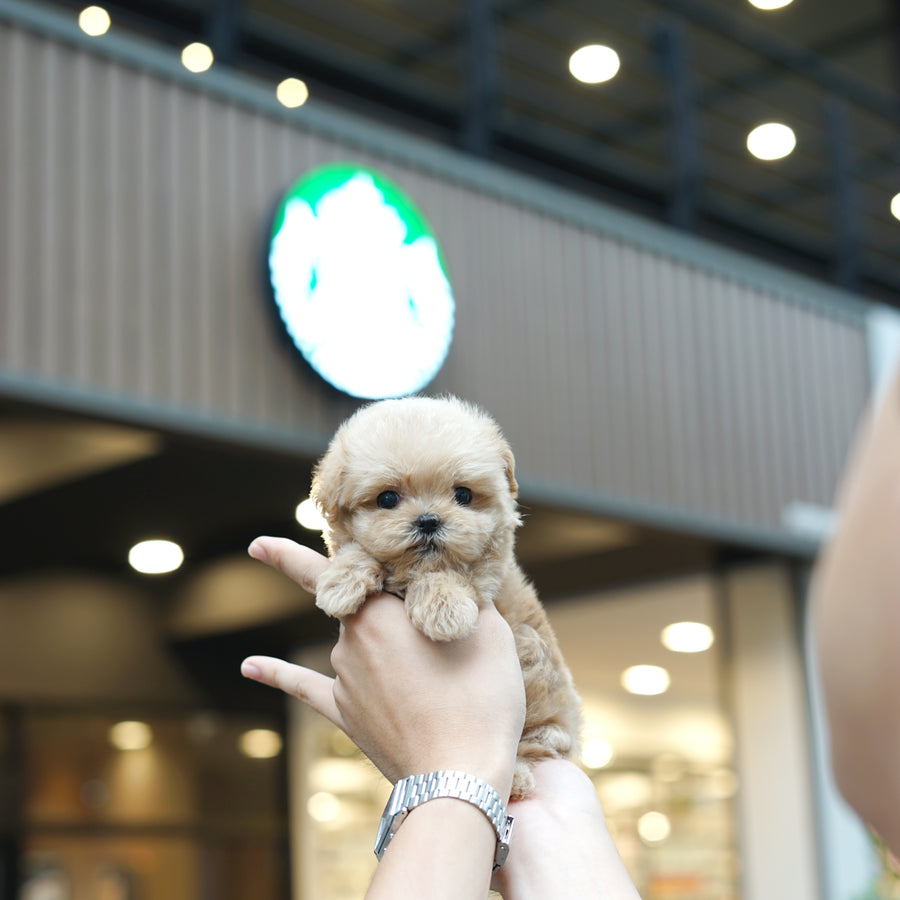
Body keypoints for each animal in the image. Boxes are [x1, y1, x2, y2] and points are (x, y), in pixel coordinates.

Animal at [310, 394, 584, 796]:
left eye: (463, 494)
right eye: (387, 498)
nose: (428, 520)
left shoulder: (487, 571)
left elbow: (451, 573)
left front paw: (444, 609)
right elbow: (357, 551)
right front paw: (342, 580)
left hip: (545, 715)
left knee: (530, 746)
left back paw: (516, 778)